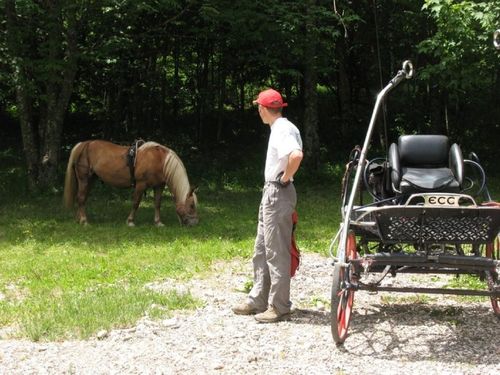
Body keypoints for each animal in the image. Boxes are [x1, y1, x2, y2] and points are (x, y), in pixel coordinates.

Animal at [64, 141, 199, 228]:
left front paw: (158, 223)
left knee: (82, 198)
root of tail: (83, 144)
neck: (160, 160)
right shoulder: (140, 185)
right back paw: (84, 221)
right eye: (192, 205)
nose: (195, 223)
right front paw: (130, 221)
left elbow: (157, 204)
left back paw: (79, 219)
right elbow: (136, 203)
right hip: (84, 179)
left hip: (91, 180)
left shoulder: (159, 186)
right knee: (81, 198)